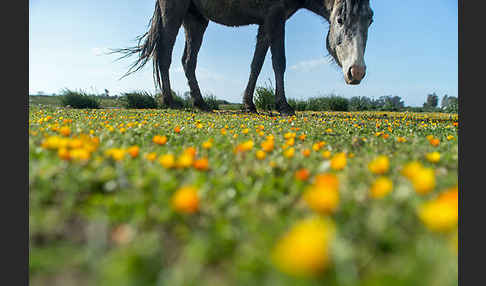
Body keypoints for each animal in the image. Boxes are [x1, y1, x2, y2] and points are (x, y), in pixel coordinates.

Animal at [116, 0, 374, 116]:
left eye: (370, 20)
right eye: (340, 20)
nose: (357, 71)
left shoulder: (266, 23)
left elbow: (256, 64)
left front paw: (249, 104)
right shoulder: (276, 18)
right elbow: (279, 62)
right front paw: (283, 106)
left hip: (195, 18)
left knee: (188, 61)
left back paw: (201, 103)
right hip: (175, 11)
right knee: (165, 55)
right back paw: (170, 101)